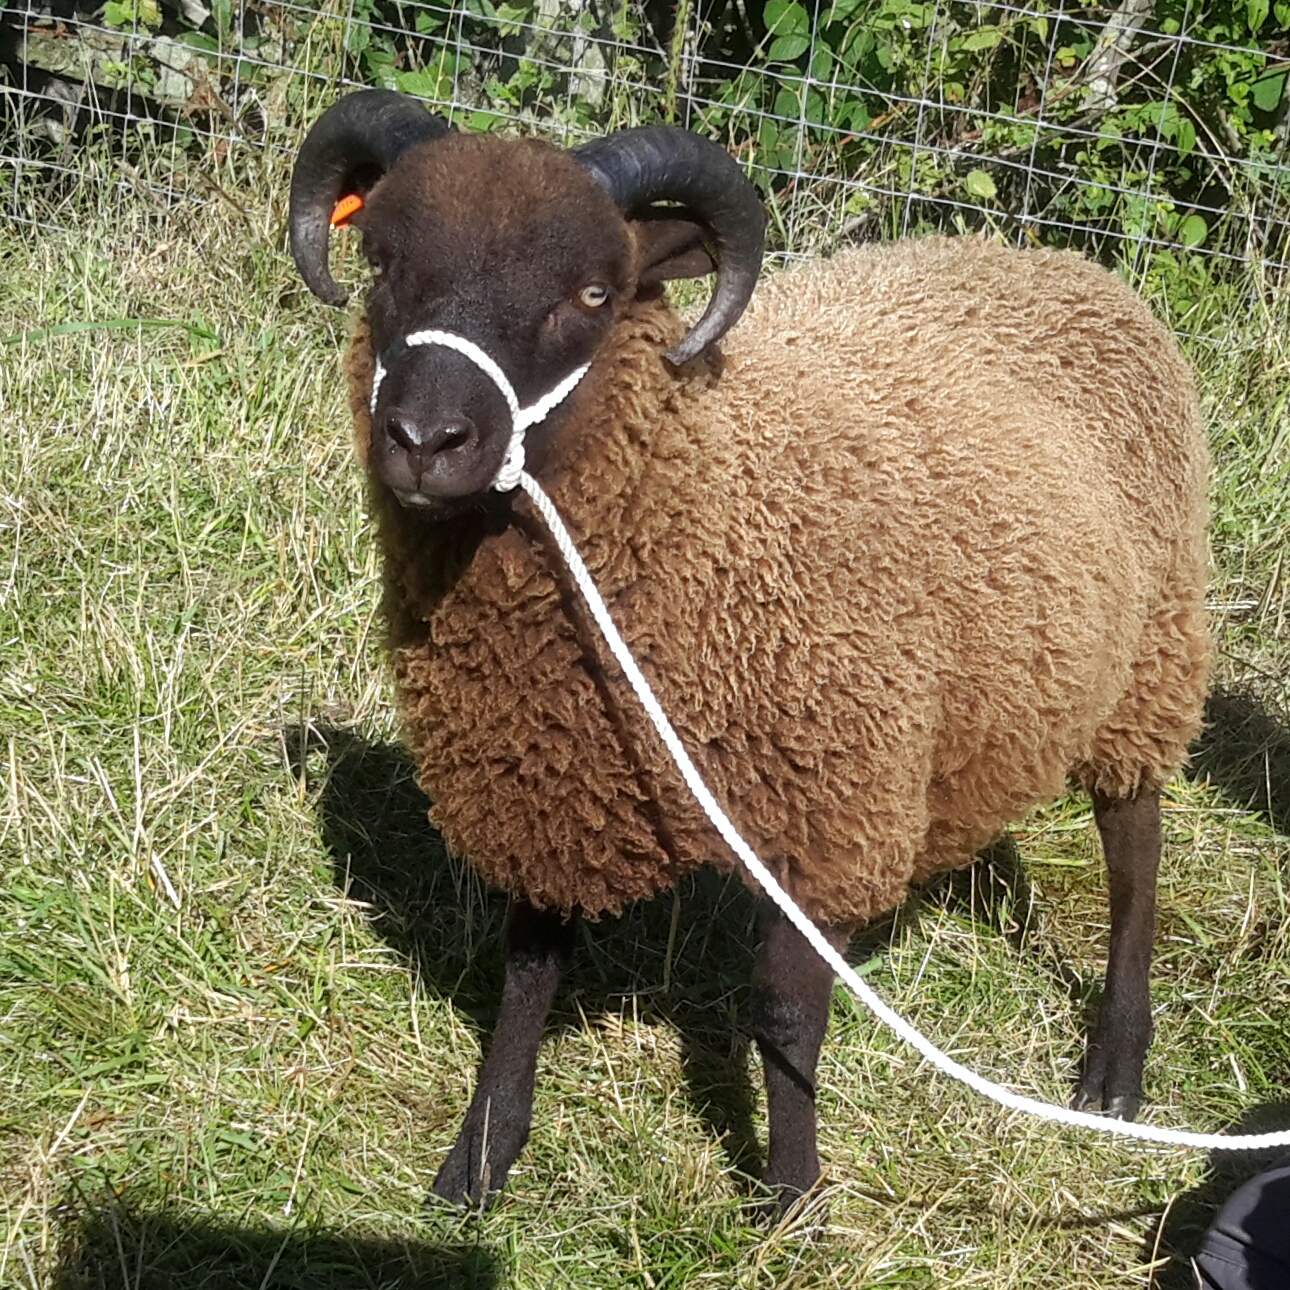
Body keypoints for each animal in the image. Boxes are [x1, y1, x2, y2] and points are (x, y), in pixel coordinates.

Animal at [289, 89, 1211, 1213]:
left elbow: (783, 1014)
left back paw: (1116, 1067)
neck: (713, 502)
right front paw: (478, 1163)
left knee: (1135, 847)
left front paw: (790, 1198)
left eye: (593, 291)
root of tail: (1059, 263)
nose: (425, 440)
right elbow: (526, 981)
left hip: (1154, 652)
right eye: (381, 260)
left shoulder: (831, 811)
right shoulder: (552, 784)